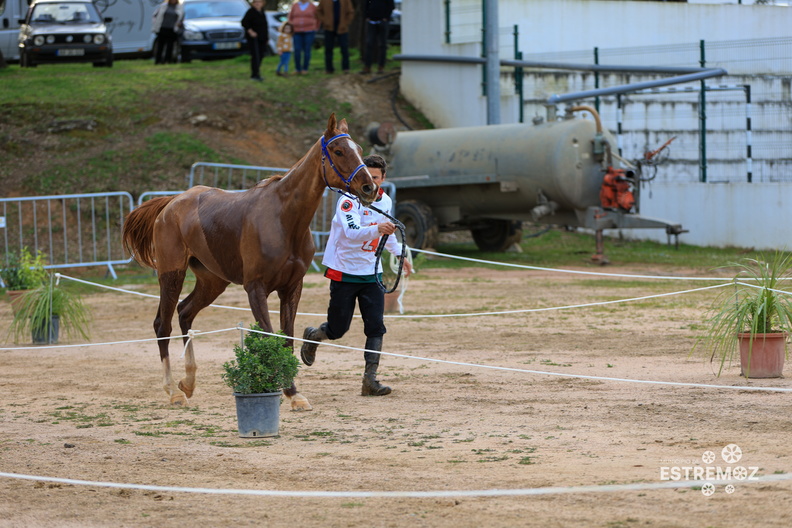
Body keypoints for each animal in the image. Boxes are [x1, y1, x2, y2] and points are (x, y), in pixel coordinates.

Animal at [123, 115, 378, 410]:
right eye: (338, 151)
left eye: (359, 149)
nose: (370, 187)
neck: (284, 219)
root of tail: (172, 203)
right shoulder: (256, 289)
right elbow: (269, 336)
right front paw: (288, 390)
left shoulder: (292, 288)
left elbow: (286, 339)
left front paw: (293, 393)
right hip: (171, 274)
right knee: (162, 325)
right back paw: (173, 391)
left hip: (213, 282)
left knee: (185, 312)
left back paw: (188, 382)